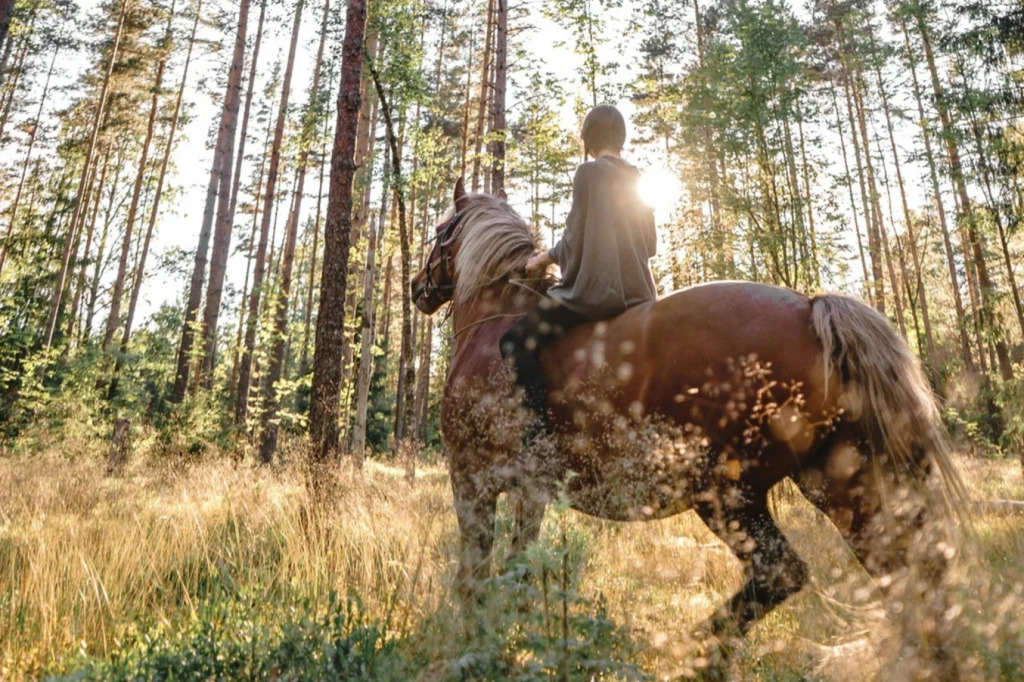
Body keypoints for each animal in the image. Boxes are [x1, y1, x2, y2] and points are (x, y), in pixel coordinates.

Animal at [409, 178, 966, 671]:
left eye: (439, 230)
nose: (416, 288)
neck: (494, 325)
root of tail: (813, 308)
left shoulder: (472, 479)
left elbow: (475, 572)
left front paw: (475, 639)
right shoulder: (532, 491)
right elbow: (518, 567)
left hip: (726, 491)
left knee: (783, 572)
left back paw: (700, 651)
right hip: (841, 484)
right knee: (903, 572)